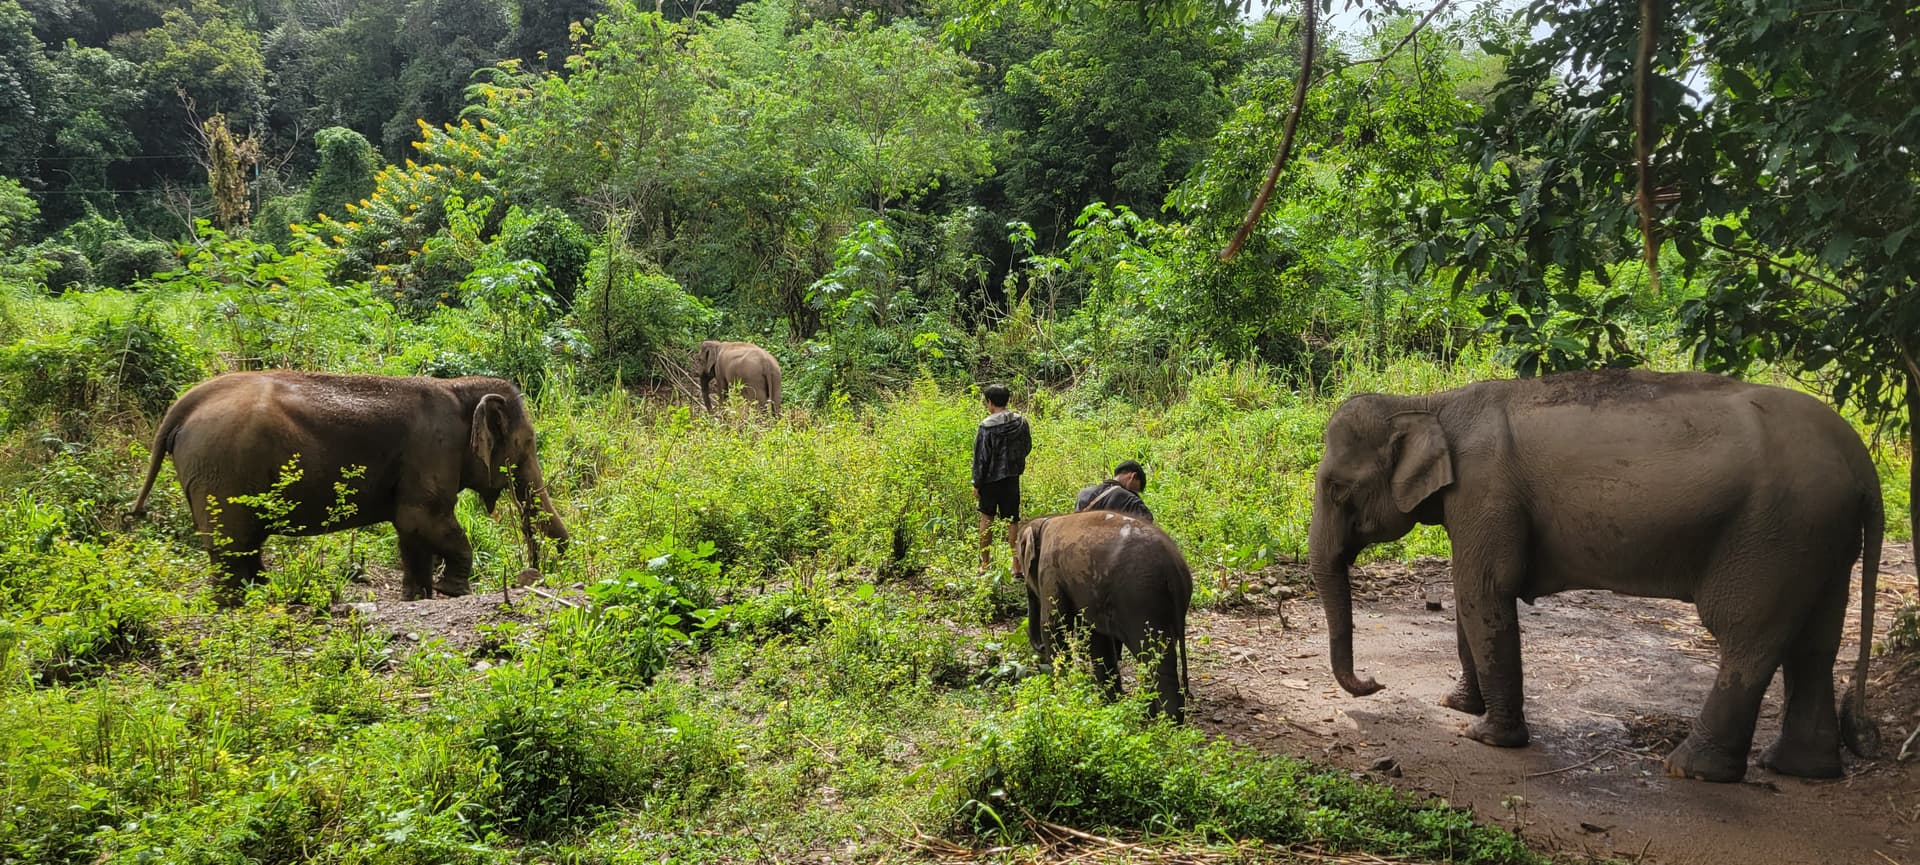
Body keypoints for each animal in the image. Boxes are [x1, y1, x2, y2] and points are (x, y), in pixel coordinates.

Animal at [131, 372, 570, 603]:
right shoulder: (433, 449)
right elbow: (421, 519)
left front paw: (418, 597)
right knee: (232, 547)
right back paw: (239, 607)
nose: (534, 572)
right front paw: (452, 590)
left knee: (243, 547)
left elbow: (410, 531)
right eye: (525, 445)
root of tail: (184, 404)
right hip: (222, 472)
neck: (458, 386)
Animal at [1018, 510, 1194, 721]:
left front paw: (1059, 698)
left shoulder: (1050, 569)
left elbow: (1053, 624)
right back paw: (1148, 714)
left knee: (1156, 660)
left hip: (1142, 599)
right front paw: (1108, 705)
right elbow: (1098, 639)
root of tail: (1173, 568)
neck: (1045, 521)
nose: (1040, 648)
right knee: (1150, 657)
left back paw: (1167, 723)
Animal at [1309, 368, 1881, 782]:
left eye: (1337, 488)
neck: (1432, 403)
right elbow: (1467, 592)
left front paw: (1487, 737)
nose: (1375, 682)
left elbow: (1483, 589)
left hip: (1775, 534)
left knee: (1749, 637)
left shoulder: (1486, 491)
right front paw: (1458, 705)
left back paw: (1691, 769)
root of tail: (1861, 461)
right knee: (1814, 645)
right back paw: (1800, 769)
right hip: (1822, 540)